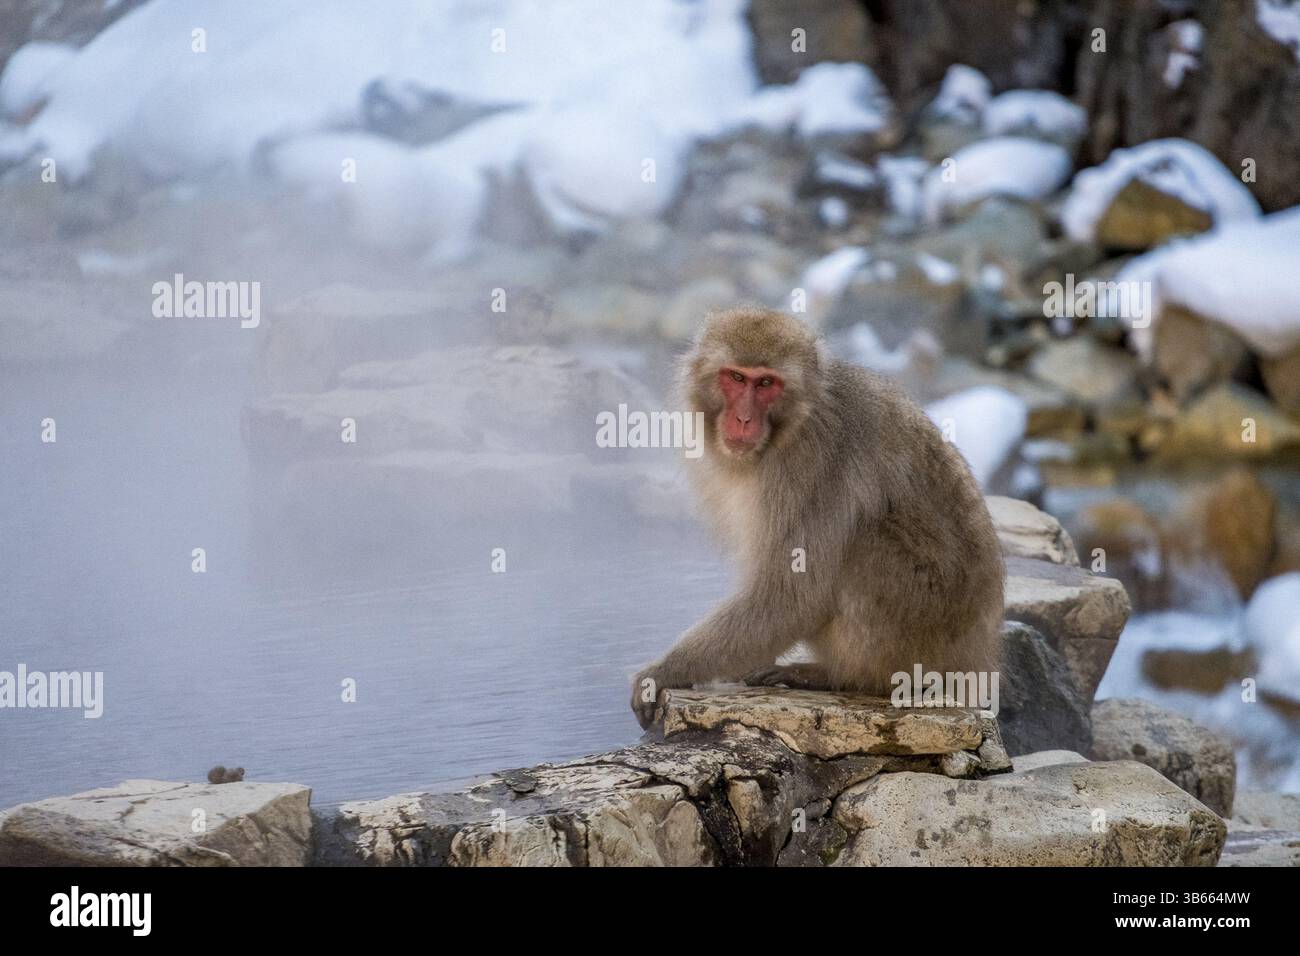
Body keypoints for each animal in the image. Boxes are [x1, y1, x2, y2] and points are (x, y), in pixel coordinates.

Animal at [630, 307, 1004, 729]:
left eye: (766, 383)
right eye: (737, 377)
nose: (742, 419)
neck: (793, 424)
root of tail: (977, 661)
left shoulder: (809, 465)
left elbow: (792, 593)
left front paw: (664, 671)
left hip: (923, 625)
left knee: (866, 542)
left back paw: (843, 676)